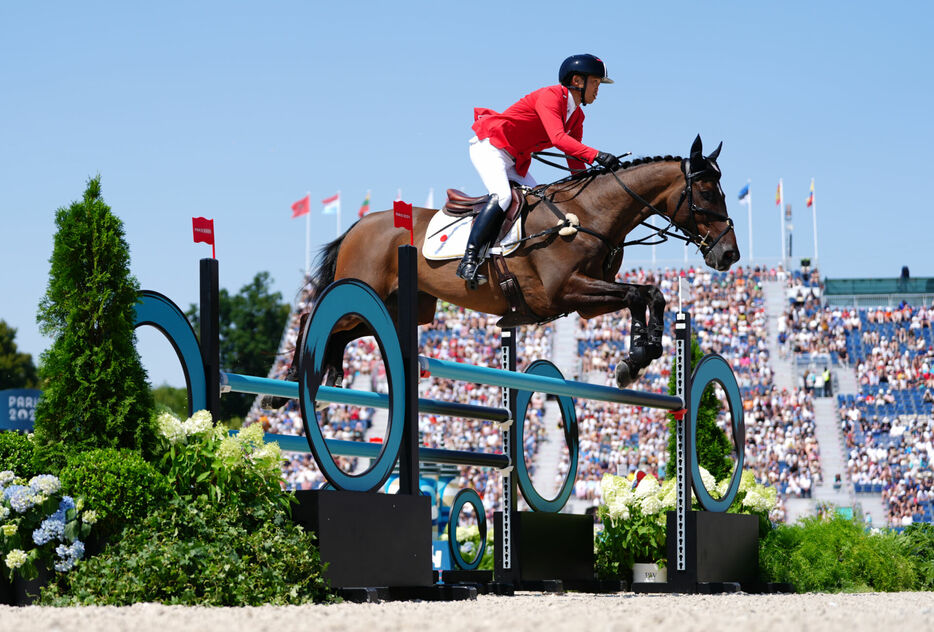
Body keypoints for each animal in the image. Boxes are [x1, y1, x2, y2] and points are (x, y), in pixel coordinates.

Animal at [278, 135, 740, 402]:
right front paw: (637, 355)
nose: (729, 255)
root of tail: (359, 225)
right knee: (310, 317)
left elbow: (648, 294)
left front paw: (641, 354)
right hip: (363, 287)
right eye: (705, 192)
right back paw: (286, 386)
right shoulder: (565, 290)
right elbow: (634, 293)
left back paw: (332, 373)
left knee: (345, 331)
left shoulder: (587, 300)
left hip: (404, 308)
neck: (589, 213)